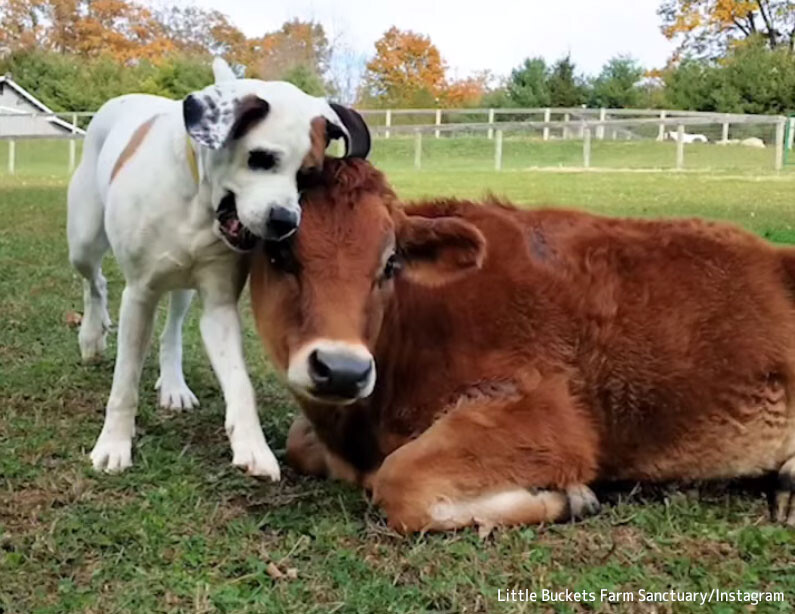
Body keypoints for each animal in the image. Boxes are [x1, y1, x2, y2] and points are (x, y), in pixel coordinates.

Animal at [65, 59, 370, 482]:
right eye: (260, 158)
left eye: (308, 175)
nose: (285, 221)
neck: (198, 201)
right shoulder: (140, 295)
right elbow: (124, 382)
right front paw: (113, 444)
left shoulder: (219, 305)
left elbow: (241, 383)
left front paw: (253, 446)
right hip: (84, 239)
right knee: (95, 281)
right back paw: (93, 335)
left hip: (182, 284)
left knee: (172, 329)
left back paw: (173, 384)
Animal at [249, 159, 795, 536]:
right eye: (279, 253)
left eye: (390, 263)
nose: (341, 369)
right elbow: (299, 444)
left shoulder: (547, 416)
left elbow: (398, 482)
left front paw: (570, 498)